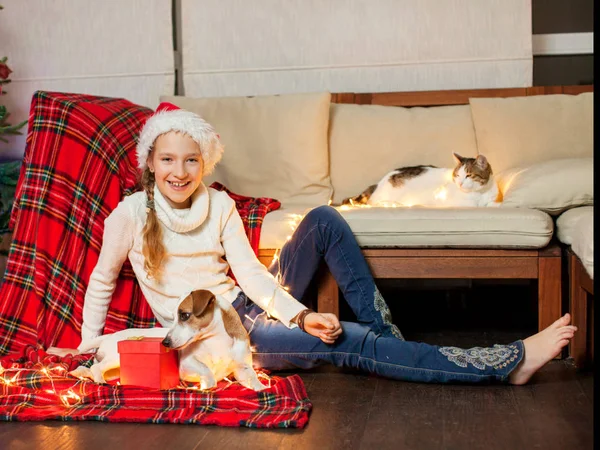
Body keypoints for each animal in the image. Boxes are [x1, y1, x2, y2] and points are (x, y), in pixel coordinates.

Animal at [68, 288, 264, 390]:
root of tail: (109, 336)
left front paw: (262, 389)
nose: (165, 342)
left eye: (184, 315)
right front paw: (205, 385)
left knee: (88, 368)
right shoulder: (188, 363)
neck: (217, 341)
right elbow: (207, 371)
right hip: (115, 359)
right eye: (174, 318)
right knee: (95, 368)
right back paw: (99, 381)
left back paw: (79, 373)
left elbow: (254, 379)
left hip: (116, 370)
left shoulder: (242, 369)